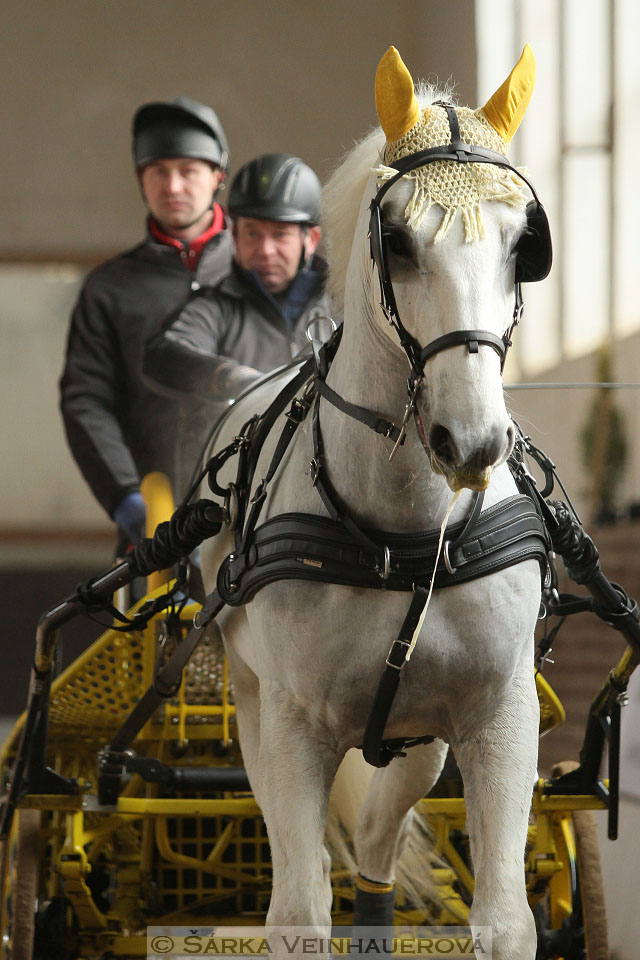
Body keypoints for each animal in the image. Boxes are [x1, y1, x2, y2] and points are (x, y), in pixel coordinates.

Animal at [202, 43, 548, 960]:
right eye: (397, 241)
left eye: (522, 244)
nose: (471, 442)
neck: (404, 535)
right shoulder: (294, 725)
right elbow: (296, 913)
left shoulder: (500, 716)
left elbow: (505, 918)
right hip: (253, 705)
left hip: (415, 744)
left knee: (373, 851)